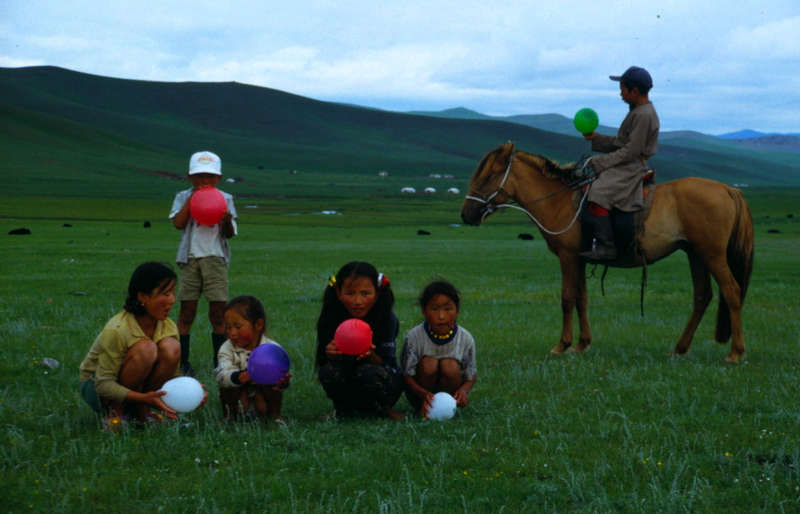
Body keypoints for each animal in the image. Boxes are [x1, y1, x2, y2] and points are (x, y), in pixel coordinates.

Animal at [460, 142, 752, 362]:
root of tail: (729, 189)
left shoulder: (567, 258)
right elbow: (582, 299)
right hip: (695, 254)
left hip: (712, 255)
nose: (466, 214)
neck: (559, 201)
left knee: (731, 291)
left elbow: (567, 298)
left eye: (487, 176)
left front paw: (562, 345)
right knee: (702, 296)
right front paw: (582, 344)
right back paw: (680, 349)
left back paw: (736, 353)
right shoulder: (580, 259)